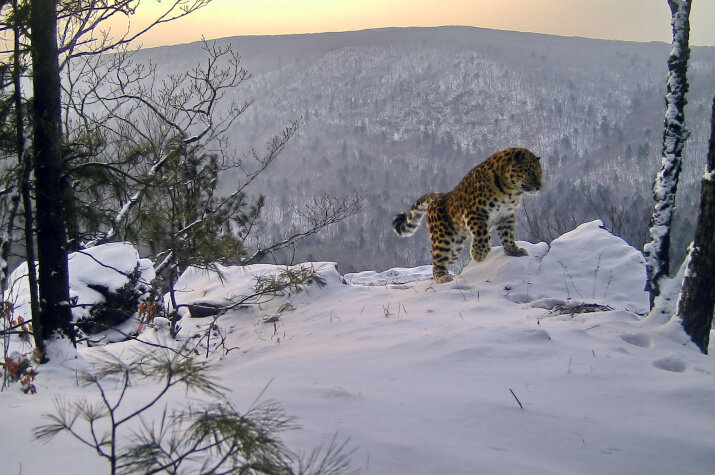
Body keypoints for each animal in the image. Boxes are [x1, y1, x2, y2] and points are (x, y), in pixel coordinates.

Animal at [394, 147, 540, 284]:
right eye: (531, 172)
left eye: (540, 173)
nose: (539, 187)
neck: (510, 191)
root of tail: (439, 196)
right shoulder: (474, 212)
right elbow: (482, 234)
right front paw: (479, 255)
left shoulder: (506, 215)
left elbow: (507, 235)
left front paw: (513, 251)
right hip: (443, 238)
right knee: (438, 258)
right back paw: (442, 277)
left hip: (455, 247)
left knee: (445, 258)